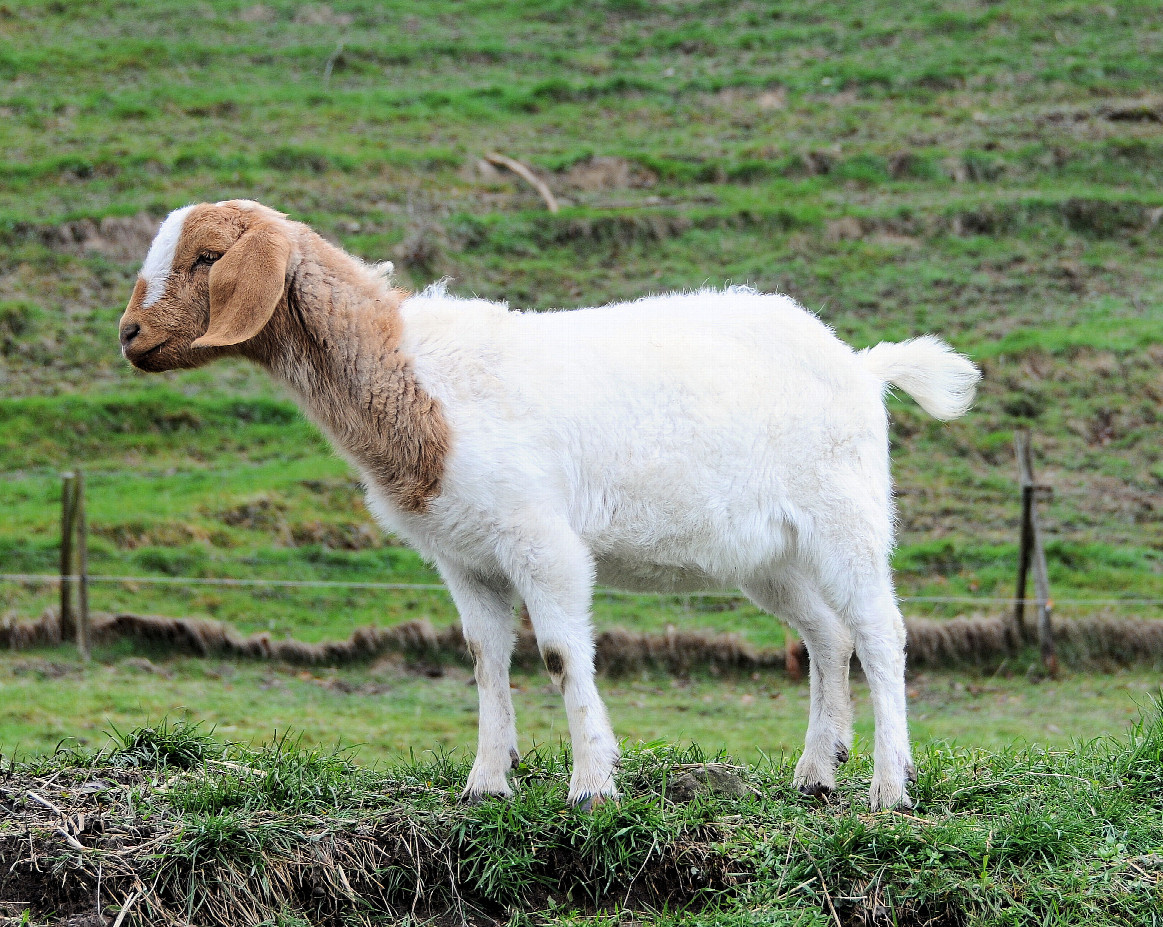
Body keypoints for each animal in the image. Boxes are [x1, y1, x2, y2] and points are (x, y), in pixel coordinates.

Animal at [120, 196, 981, 809]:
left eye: (207, 256)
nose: (129, 334)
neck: (419, 382)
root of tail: (863, 364)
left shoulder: (539, 539)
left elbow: (562, 654)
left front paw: (591, 785)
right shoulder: (464, 555)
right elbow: (484, 658)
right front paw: (486, 781)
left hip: (846, 518)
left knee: (880, 631)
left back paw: (888, 786)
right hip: (769, 553)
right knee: (827, 634)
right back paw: (815, 770)